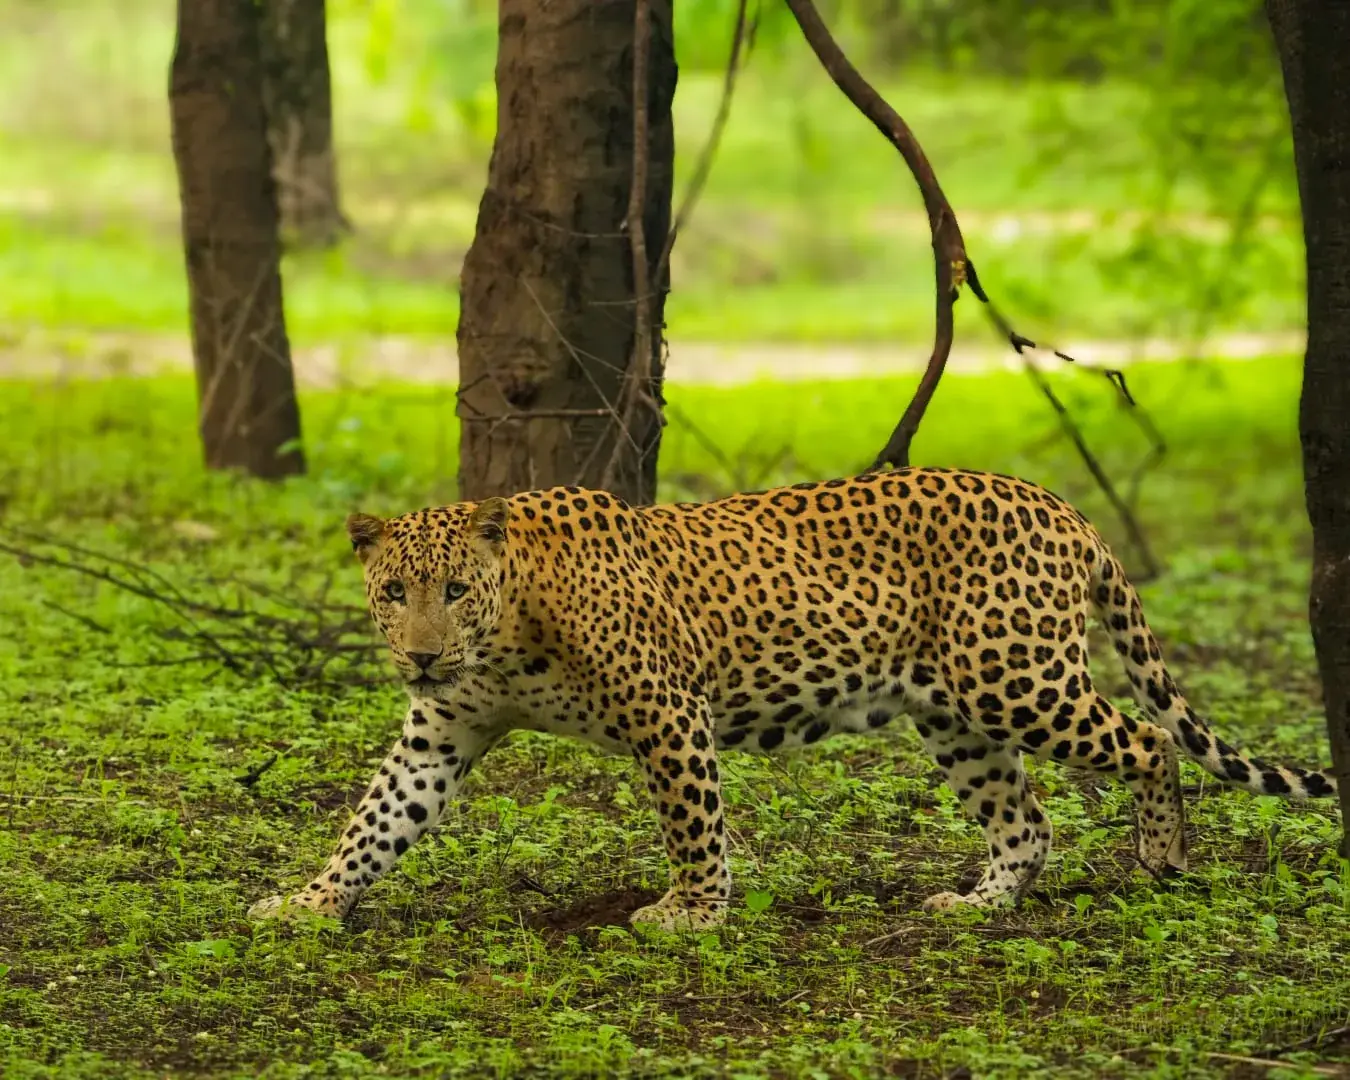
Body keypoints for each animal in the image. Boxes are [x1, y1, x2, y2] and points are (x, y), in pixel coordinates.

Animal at [247, 467, 1338, 931]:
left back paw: (1163, 854)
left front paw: (690, 914)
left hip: (1016, 676)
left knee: (1149, 737)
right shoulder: (438, 734)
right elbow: (373, 823)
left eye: (454, 589)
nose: (423, 655)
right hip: (955, 714)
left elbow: (693, 828)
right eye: (395, 592)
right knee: (1025, 822)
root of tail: (1061, 505)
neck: (505, 634)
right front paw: (309, 901)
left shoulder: (668, 713)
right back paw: (976, 904)